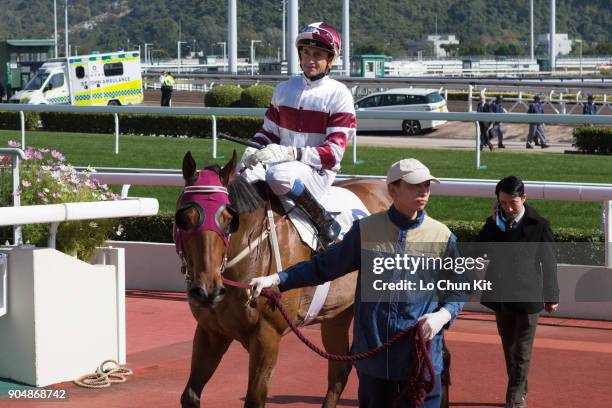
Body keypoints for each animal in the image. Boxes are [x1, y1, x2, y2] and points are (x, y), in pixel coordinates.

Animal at [175, 151, 452, 406]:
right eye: (184, 218)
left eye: (229, 220)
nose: (207, 291)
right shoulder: (211, 331)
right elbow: (190, 395)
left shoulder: (267, 336)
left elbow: (255, 399)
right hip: (338, 314)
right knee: (341, 371)